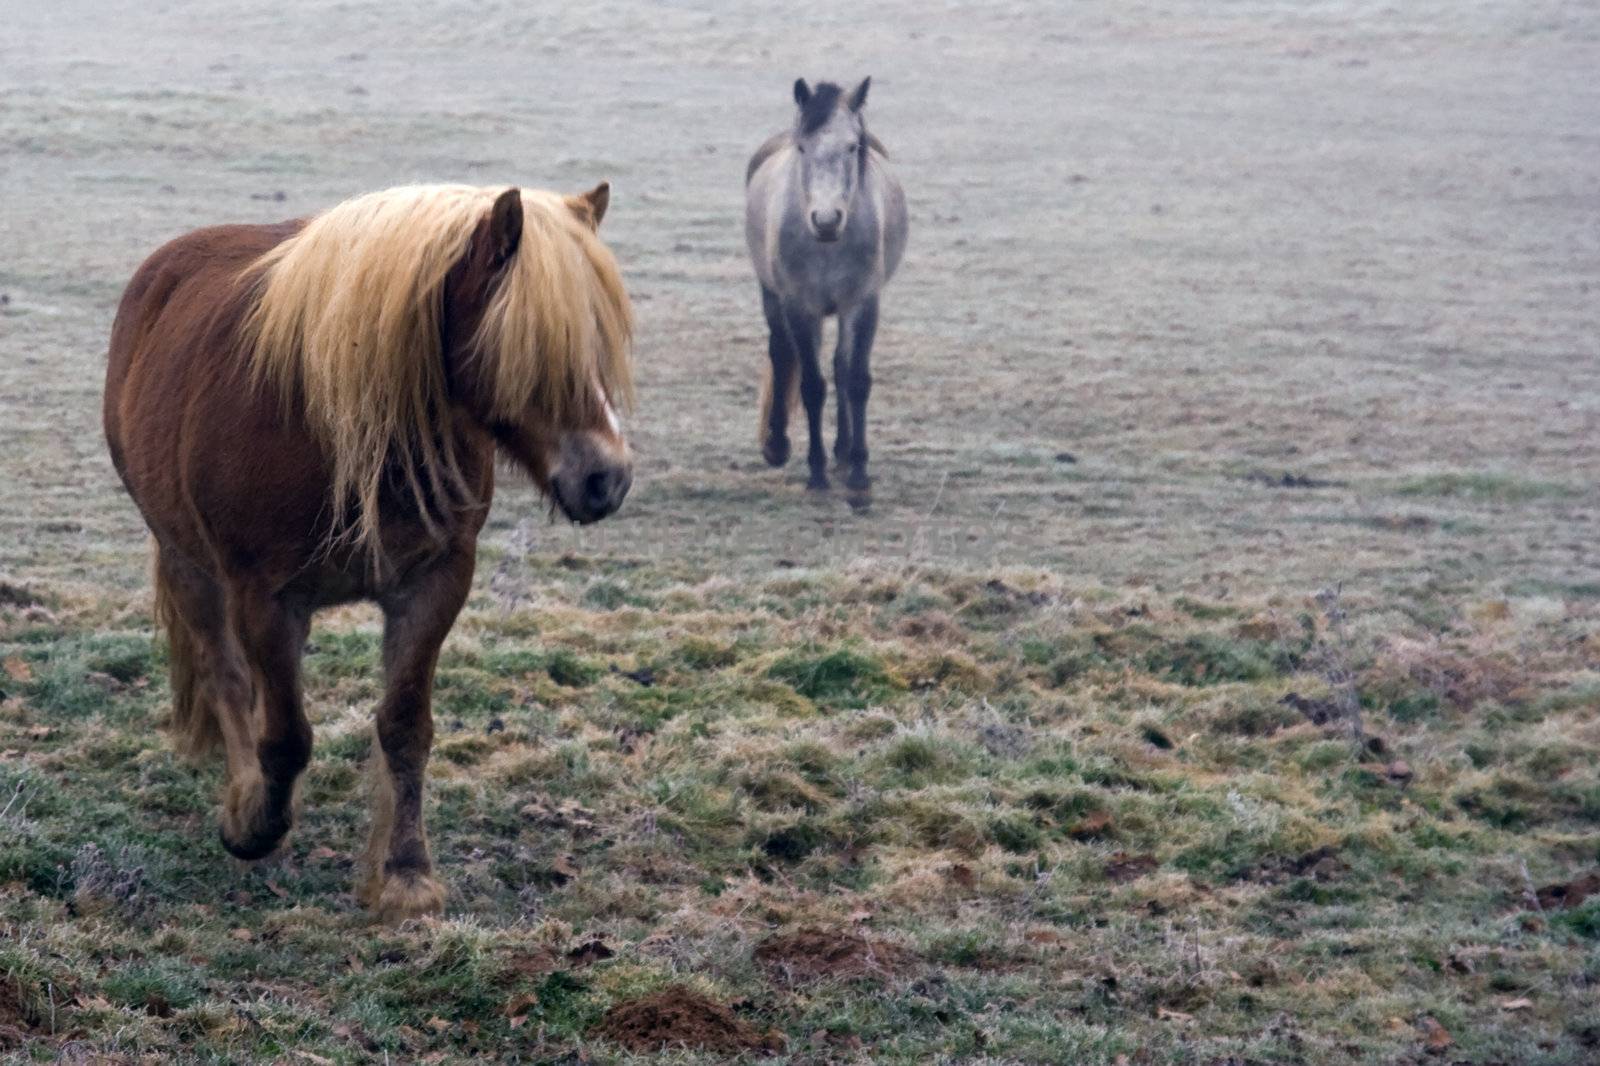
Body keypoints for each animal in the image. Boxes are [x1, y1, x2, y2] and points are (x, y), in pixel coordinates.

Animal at [98, 182, 636, 921]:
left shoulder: (434, 585)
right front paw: (255, 827)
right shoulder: (267, 600)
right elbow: (286, 735)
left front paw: (407, 872)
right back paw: (245, 801)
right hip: (189, 564)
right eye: (530, 346)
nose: (607, 479)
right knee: (227, 677)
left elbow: (405, 726)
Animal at [742, 76, 908, 492]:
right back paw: (778, 445)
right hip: (774, 297)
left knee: (839, 367)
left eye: (852, 146)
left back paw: (843, 449)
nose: (827, 220)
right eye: (803, 147)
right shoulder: (800, 307)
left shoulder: (863, 303)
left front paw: (859, 472)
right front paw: (816, 472)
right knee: (782, 352)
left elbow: (856, 379)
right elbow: (812, 386)